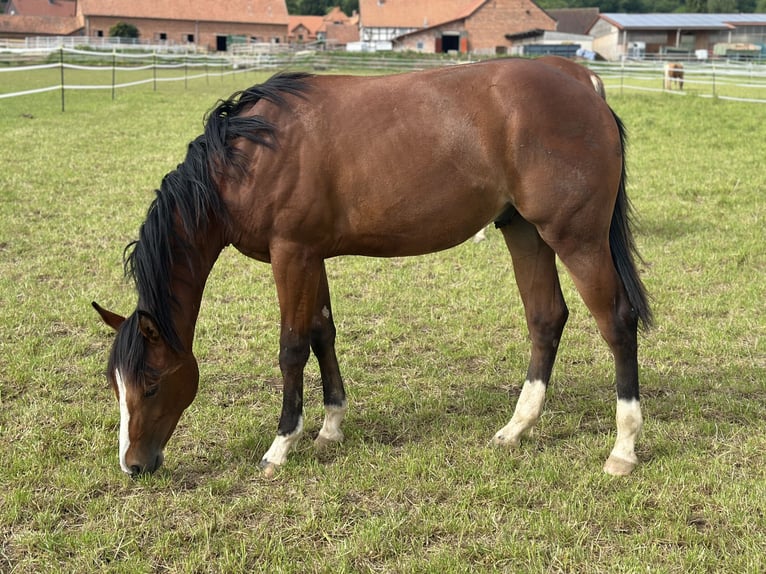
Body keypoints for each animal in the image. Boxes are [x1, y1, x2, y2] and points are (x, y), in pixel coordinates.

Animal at [93, 58, 653, 479]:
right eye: (115, 386)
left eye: (151, 384)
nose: (133, 466)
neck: (249, 156)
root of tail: (582, 84)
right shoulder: (310, 256)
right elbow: (323, 333)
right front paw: (330, 428)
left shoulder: (290, 254)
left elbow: (292, 348)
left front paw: (280, 446)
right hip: (525, 232)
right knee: (546, 319)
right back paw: (517, 428)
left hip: (576, 239)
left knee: (616, 323)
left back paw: (622, 449)